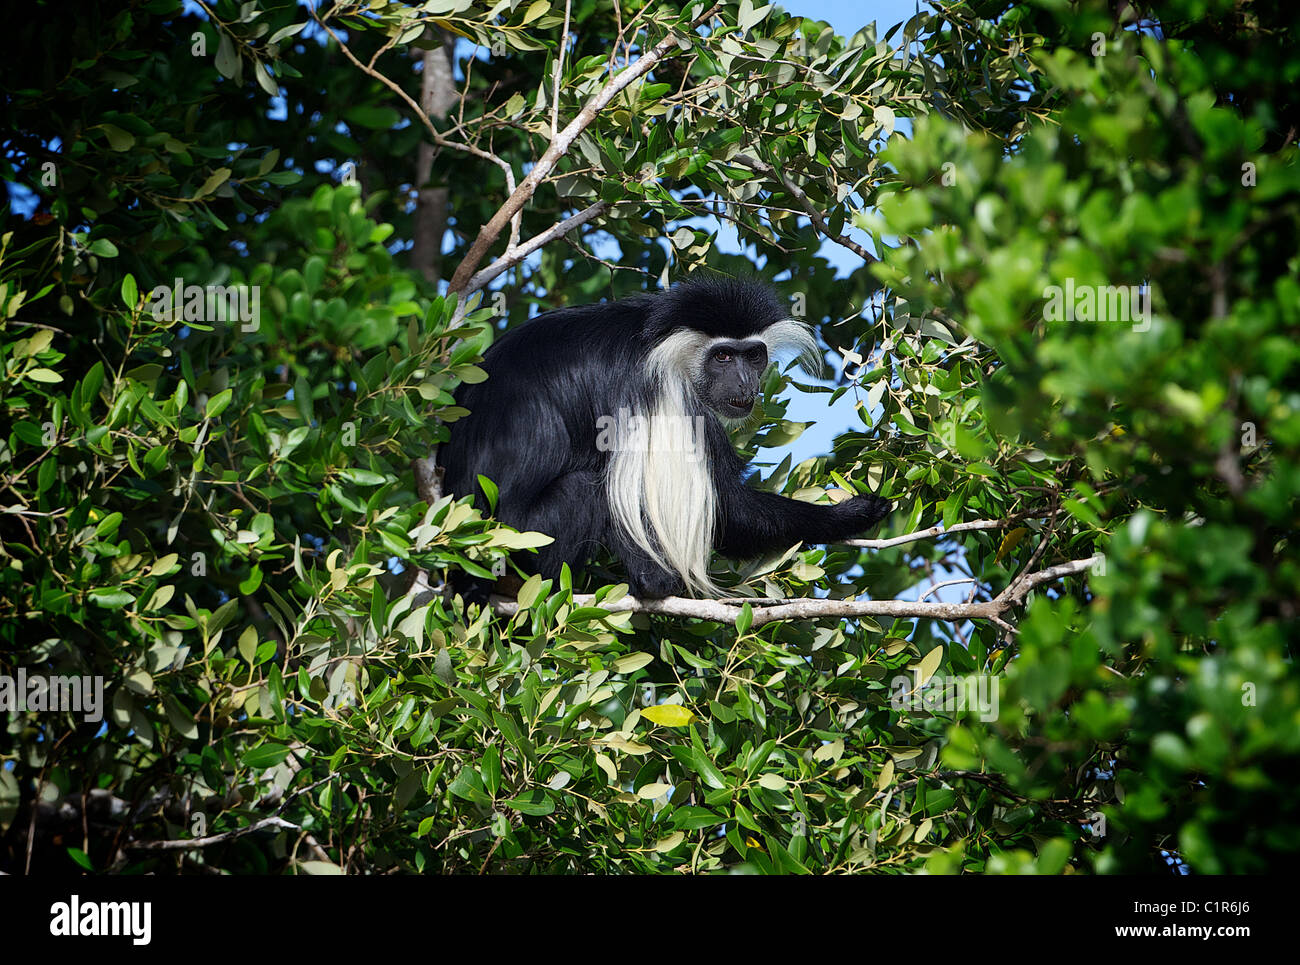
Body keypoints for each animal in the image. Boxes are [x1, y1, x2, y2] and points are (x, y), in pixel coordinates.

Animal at [439, 275, 894, 600]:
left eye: (753, 355)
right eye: (722, 356)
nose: (746, 384)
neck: (656, 338)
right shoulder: (665, 394)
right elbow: (724, 510)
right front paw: (852, 514)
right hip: (526, 540)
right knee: (589, 488)